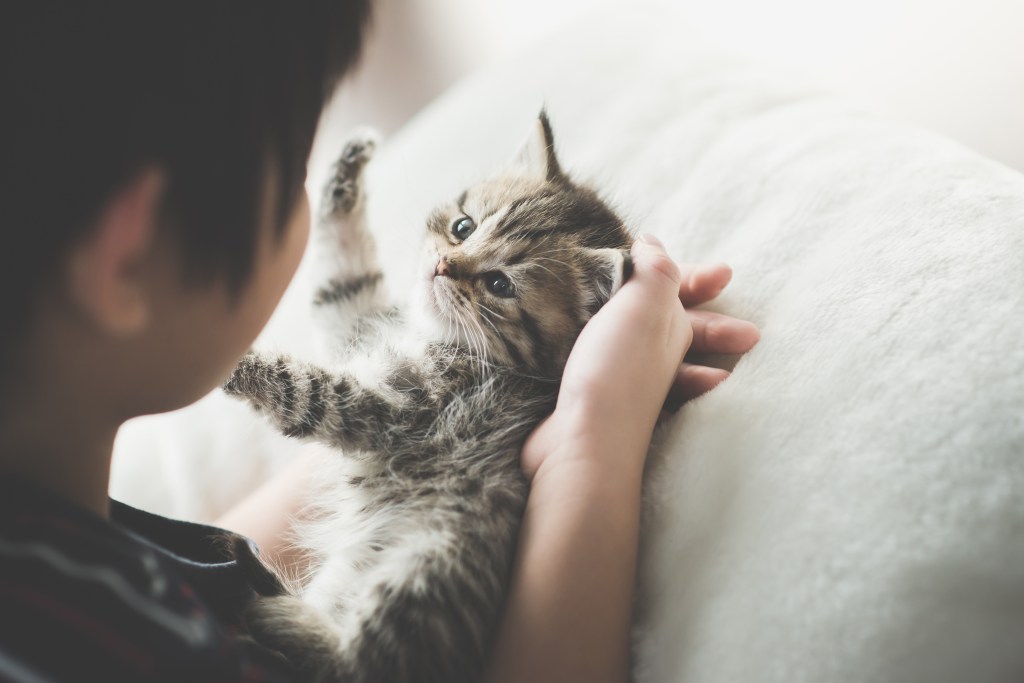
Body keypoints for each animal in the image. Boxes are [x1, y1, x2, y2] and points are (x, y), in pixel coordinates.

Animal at [226, 113, 630, 683]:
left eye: (499, 284)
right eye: (464, 227)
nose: (442, 266)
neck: (436, 337)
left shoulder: (386, 407)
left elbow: (301, 386)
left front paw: (229, 363)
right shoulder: (353, 324)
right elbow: (339, 279)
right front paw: (345, 171)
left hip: (425, 563)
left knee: (356, 664)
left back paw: (273, 608)